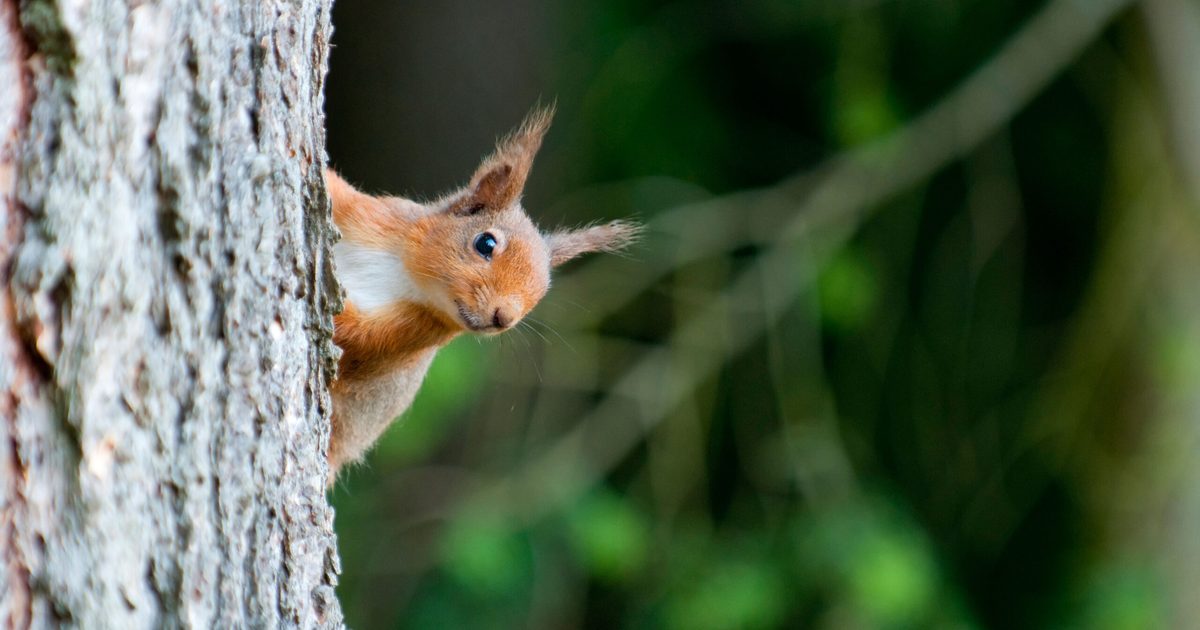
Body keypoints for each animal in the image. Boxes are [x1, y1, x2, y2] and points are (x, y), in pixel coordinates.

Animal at [319, 106, 638, 470]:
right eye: (485, 243)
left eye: (540, 295)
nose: (504, 318)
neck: (404, 273)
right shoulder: (374, 215)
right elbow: (339, 192)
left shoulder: (406, 334)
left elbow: (354, 338)